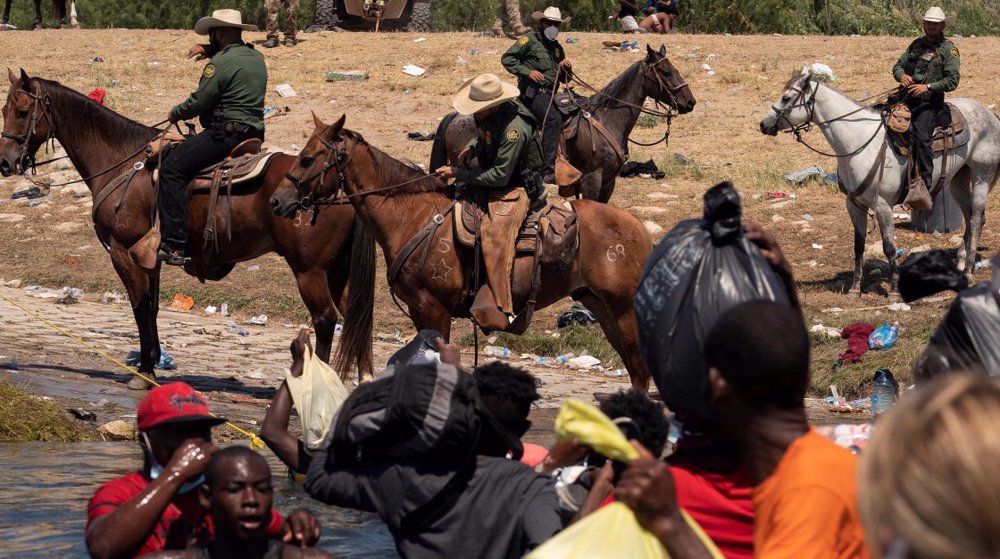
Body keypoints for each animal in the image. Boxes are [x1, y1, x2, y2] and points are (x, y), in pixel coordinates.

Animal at [0, 71, 376, 390]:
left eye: (22, 111)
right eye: (5, 109)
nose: (5, 162)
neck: (123, 162)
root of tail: (340, 185)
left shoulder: (123, 252)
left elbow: (139, 307)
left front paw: (143, 372)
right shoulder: (150, 257)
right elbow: (151, 308)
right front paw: (151, 363)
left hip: (309, 270)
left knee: (325, 320)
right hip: (337, 271)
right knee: (356, 317)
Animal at [272, 114, 656, 392]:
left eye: (307, 159)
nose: (277, 201)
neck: (411, 217)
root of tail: (640, 230)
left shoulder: (435, 310)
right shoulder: (419, 312)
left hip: (623, 309)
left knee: (640, 370)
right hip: (601, 307)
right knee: (636, 369)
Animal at [430, 45, 696, 203]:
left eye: (675, 69)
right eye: (666, 72)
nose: (690, 102)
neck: (606, 119)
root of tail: (455, 116)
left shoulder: (609, 181)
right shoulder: (592, 178)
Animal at [756, 69, 1000, 298]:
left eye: (786, 98)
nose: (763, 124)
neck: (859, 142)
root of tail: (991, 115)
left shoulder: (883, 205)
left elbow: (889, 247)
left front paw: (894, 289)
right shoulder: (853, 204)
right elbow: (859, 246)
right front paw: (855, 288)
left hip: (982, 176)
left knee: (976, 220)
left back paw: (968, 270)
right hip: (958, 180)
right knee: (971, 218)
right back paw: (961, 262)